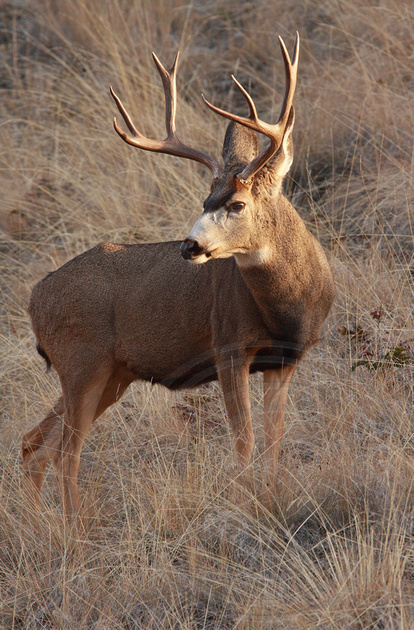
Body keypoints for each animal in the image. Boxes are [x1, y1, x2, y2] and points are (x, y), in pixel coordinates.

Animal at [21, 34, 334, 528]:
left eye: (237, 204)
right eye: (205, 200)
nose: (189, 246)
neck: (289, 309)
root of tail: (34, 298)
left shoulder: (285, 360)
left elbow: (274, 441)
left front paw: (271, 500)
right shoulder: (228, 346)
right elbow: (244, 440)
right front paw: (245, 506)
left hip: (112, 374)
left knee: (35, 444)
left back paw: (42, 527)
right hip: (81, 361)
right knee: (66, 453)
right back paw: (75, 531)